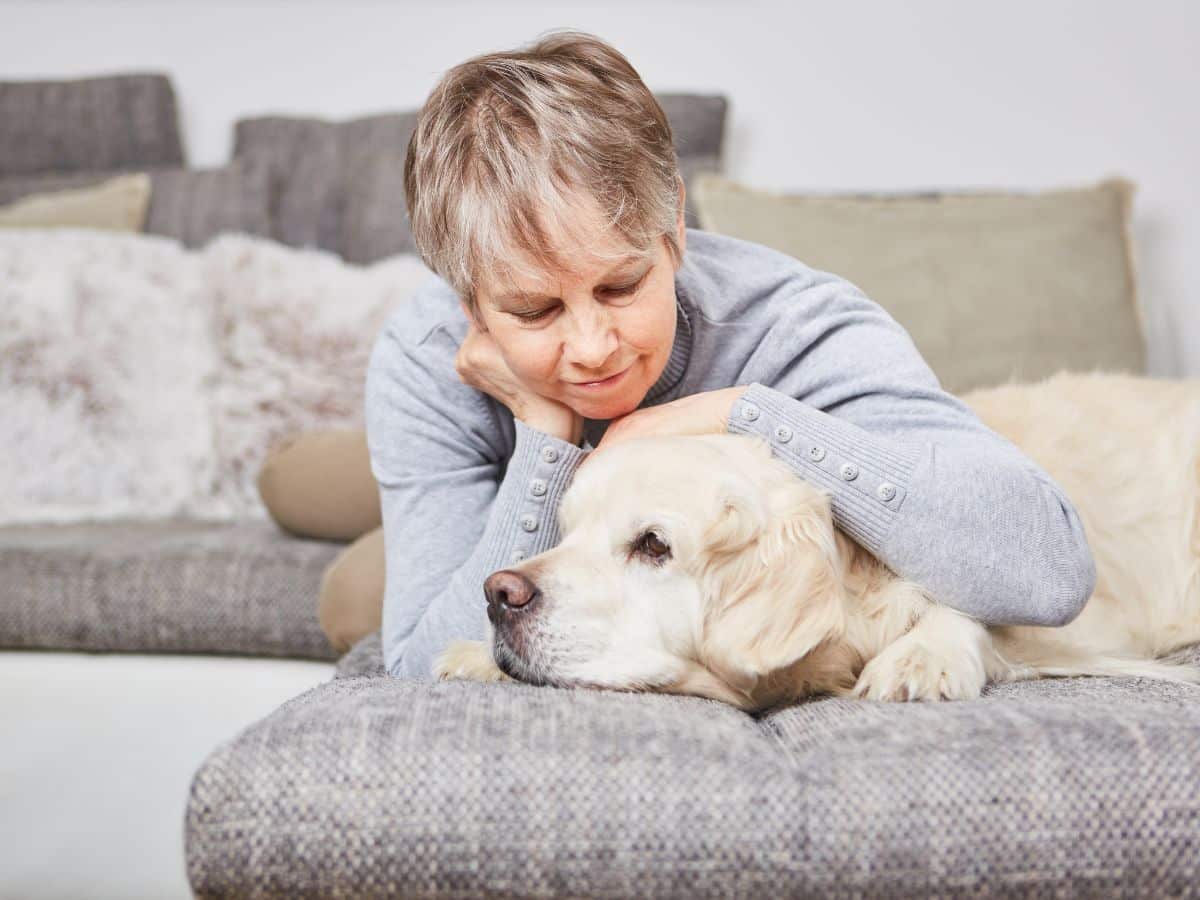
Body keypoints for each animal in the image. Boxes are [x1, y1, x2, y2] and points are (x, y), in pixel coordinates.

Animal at [436, 374, 1200, 710]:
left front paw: (922, 656)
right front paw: (473, 655)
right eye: (569, 531)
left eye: (653, 545)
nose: (499, 595)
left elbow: (968, 613)